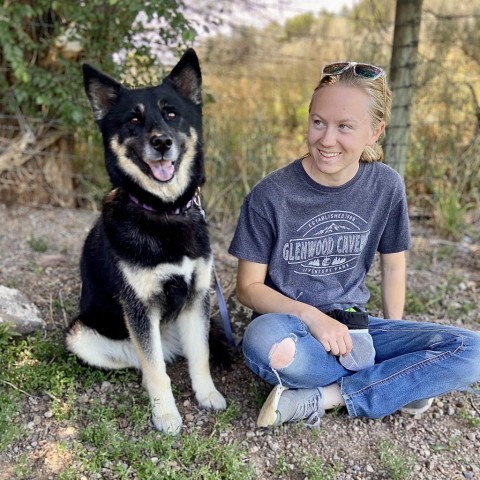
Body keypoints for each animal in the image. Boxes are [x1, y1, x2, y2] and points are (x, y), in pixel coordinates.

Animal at [64, 49, 227, 436]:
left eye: (172, 114)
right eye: (134, 120)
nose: (162, 142)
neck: (164, 211)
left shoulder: (197, 298)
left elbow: (200, 356)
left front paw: (207, 395)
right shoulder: (139, 308)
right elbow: (155, 371)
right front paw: (165, 415)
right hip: (80, 334)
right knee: (145, 361)